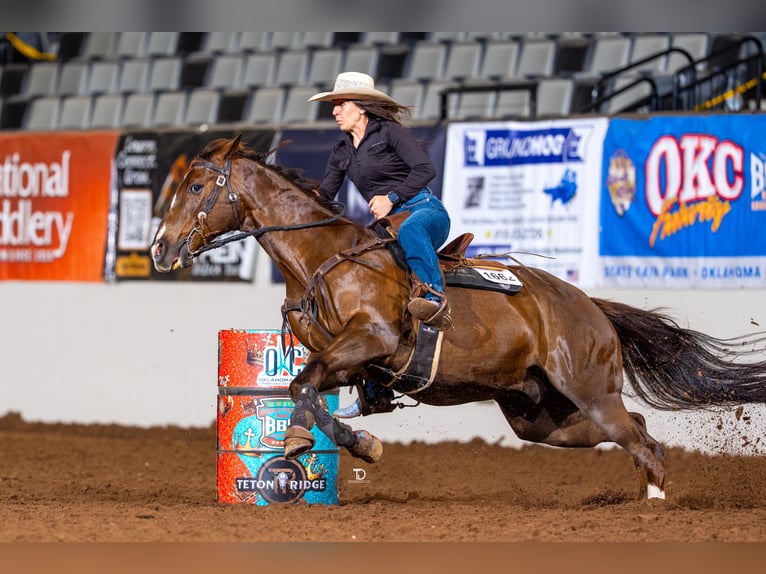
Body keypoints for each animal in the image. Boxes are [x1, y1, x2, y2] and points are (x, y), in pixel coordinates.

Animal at [150, 135, 766, 500]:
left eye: (197, 185)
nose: (159, 248)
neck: (324, 257)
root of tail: (592, 309)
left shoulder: (369, 339)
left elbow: (303, 385)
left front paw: (322, 443)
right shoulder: (345, 361)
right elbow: (310, 391)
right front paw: (348, 441)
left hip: (588, 389)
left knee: (641, 440)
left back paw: (654, 508)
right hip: (541, 415)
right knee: (634, 429)